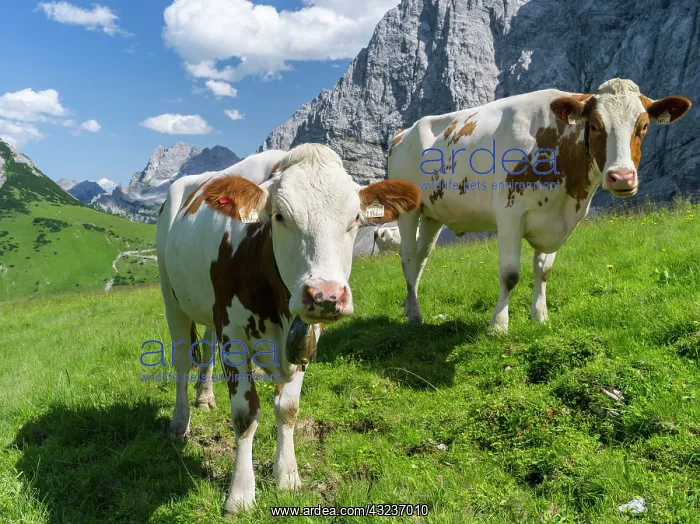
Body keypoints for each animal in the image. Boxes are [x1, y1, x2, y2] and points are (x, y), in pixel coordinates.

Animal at [156, 144, 421, 513]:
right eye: (280, 217)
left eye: (356, 218)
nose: (325, 295)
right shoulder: (232, 334)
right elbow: (245, 414)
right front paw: (241, 493)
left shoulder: (306, 336)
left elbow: (288, 408)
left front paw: (287, 476)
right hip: (171, 296)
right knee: (182, 360)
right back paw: (180, 422)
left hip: (207, 309)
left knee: (205, 350)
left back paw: (205, 397)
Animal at [388, 78, 691, 333]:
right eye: (595, 126)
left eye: (644, 126)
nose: (622, 177)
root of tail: (402, 134)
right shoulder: (509, 216)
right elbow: (510, 274)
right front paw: (499, 325)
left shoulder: (555, 220)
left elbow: (543, 270)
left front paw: (540, 316)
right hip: (407, 210)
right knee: (408, 258)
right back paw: (414, 314)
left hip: (432, 215)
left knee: (421, 258)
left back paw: (408, 305)